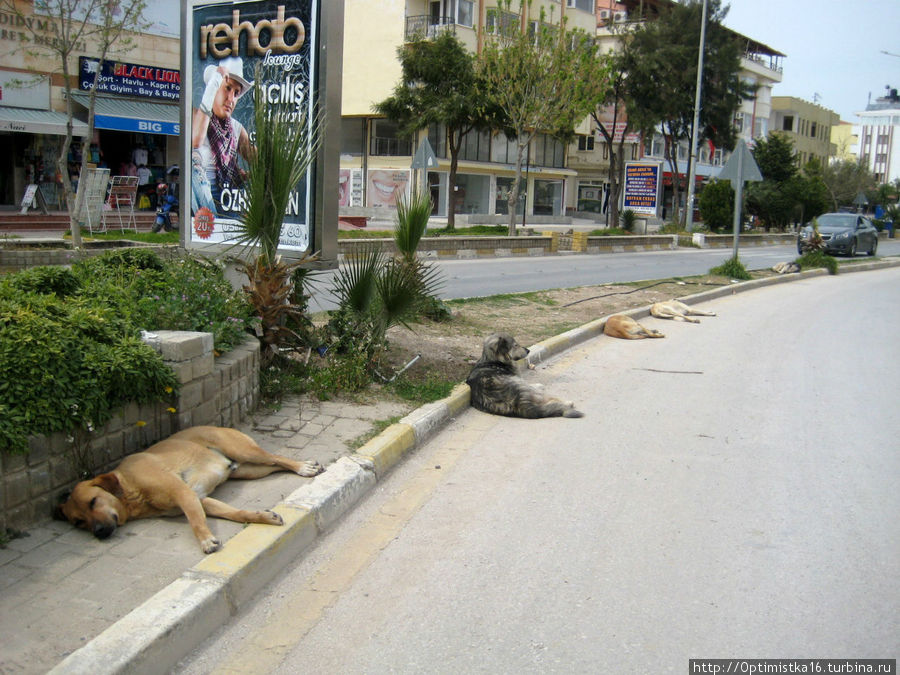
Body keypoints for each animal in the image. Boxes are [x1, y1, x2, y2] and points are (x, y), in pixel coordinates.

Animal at [55, 428, 324, 556]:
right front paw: (263, 517)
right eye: (79, 522)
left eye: (93, 501)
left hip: (245, 452)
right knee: (275, 464)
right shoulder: (201, 499)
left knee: (277, 457)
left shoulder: (183, 493)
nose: (99, 532)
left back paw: (303, 467)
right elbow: (235, 513)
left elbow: (195, 521)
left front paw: (206, 541)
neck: (131, 489)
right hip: (249, 470)